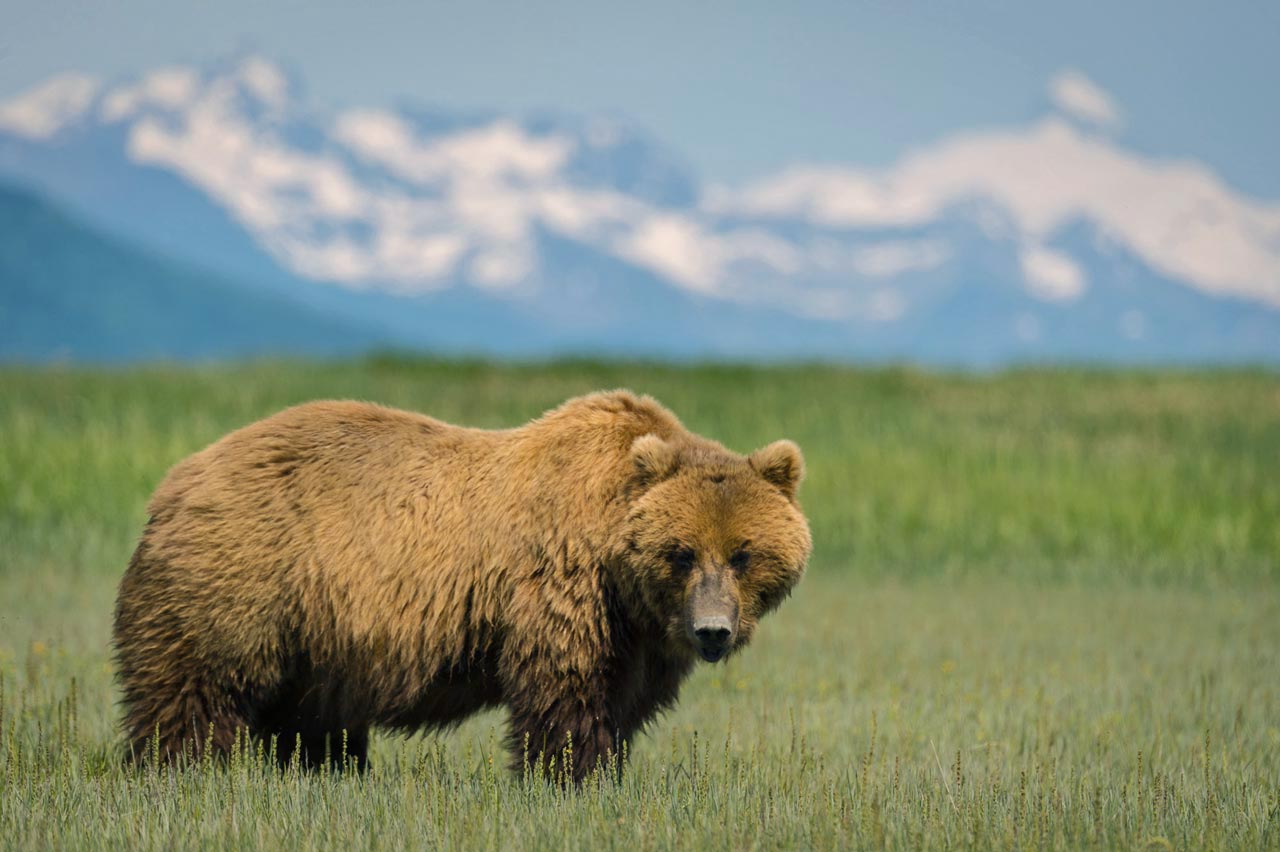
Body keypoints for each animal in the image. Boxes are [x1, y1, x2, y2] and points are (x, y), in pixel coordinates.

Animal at [113, 390, 811, 782]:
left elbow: (623, 703)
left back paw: (322, 773)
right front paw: (566, 778)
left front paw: (608, 772)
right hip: (243, 580)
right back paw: (179, 774)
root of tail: (173, 483)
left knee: (307, 716)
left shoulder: (637, 634)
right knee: (195, 689)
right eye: (682, 552)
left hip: (317, 634)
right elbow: (564, 692)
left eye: (743, 554)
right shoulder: (566, 588)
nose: (713, 632)